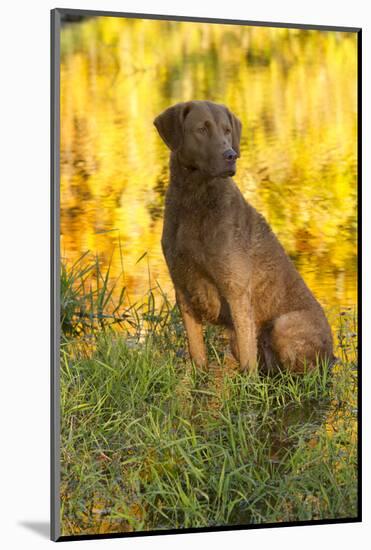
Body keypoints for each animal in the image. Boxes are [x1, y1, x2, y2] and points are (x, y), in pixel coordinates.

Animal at [154, 100, 334, 376]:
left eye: (227, 130)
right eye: (202, 129)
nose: (231, 155)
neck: (194, 200)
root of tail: (334, 355)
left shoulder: (236, 291)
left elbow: (248, 364)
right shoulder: (183, 289)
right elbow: (197, 353)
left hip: (284, 324)